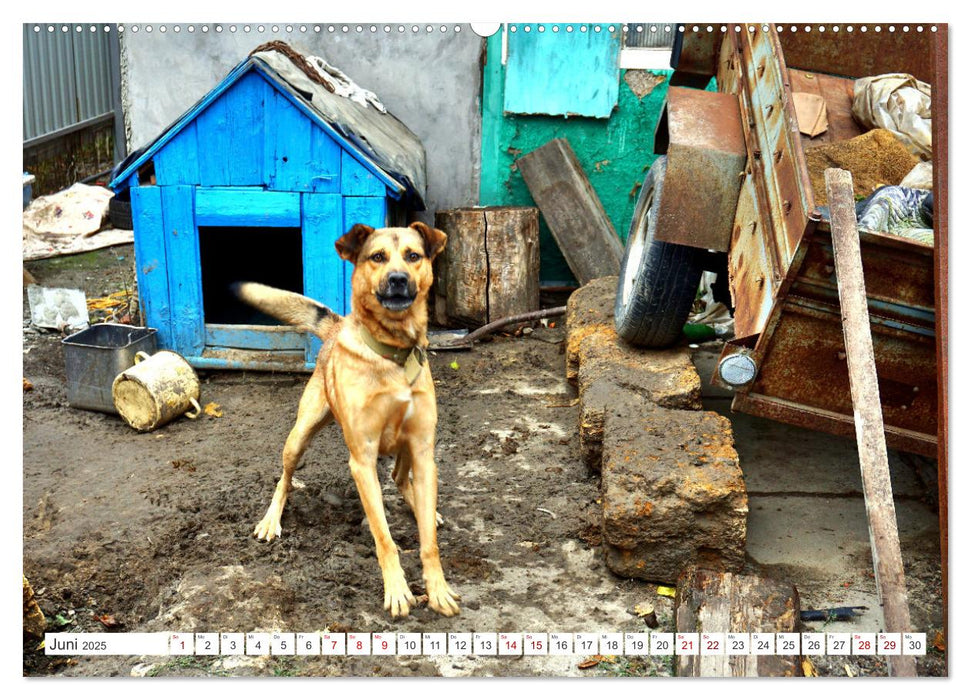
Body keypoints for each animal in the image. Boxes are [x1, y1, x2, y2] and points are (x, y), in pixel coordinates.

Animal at [237, 220, 462, 616]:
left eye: (413, 256)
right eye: (377, 257)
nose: (399, 279)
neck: (393, 355)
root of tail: (337, 327)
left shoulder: (423, 449)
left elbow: (429, 542)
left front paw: (437, 589)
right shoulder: (362, 460)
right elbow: (383, 536)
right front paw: (397, 591)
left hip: (407, 445)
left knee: (400, 477)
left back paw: (423, 509)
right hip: (299, 436)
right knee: (284, 478)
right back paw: (271, 520)